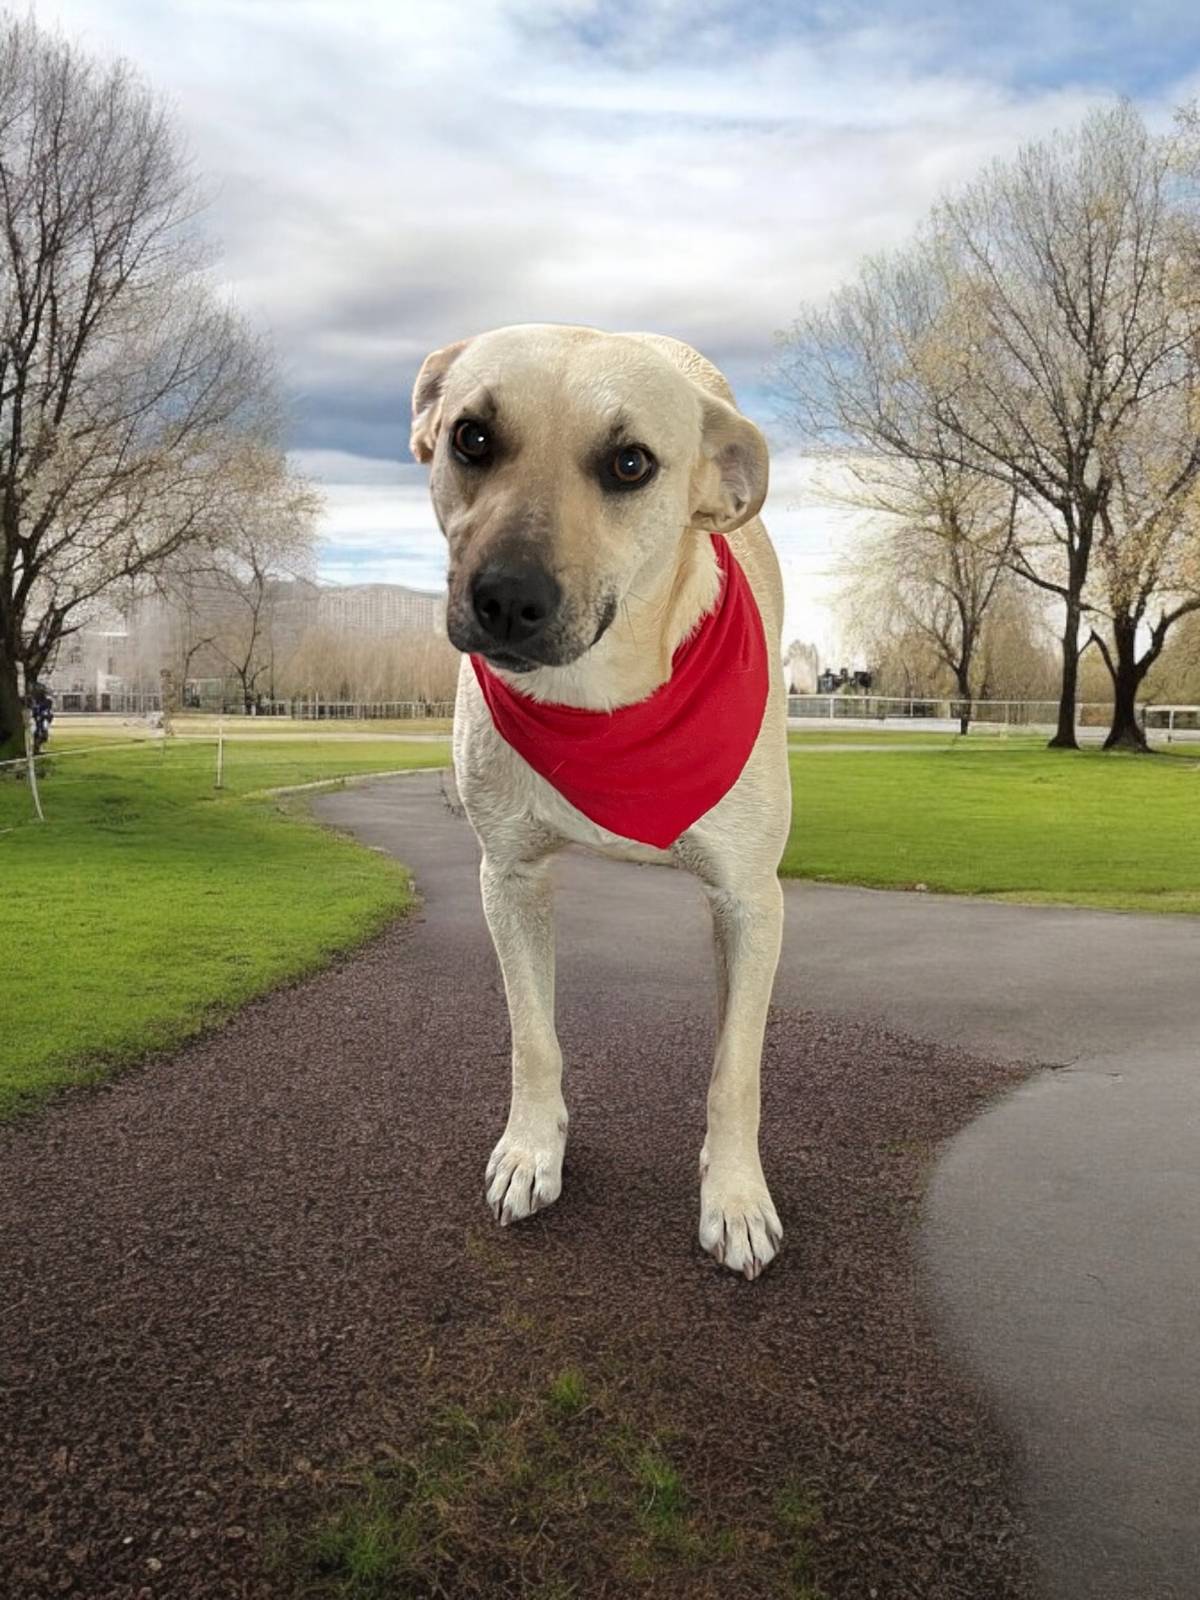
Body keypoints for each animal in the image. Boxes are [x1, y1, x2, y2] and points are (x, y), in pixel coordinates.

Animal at [411, 324, 790, 1279]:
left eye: (629, 463)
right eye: (472, 437)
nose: (507, 597)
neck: (599, 706)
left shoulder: (751, 894)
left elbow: (736, 1069)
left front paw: (735, 1196)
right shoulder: (508, 877)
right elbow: (531, 1035)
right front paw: (531, 1151)